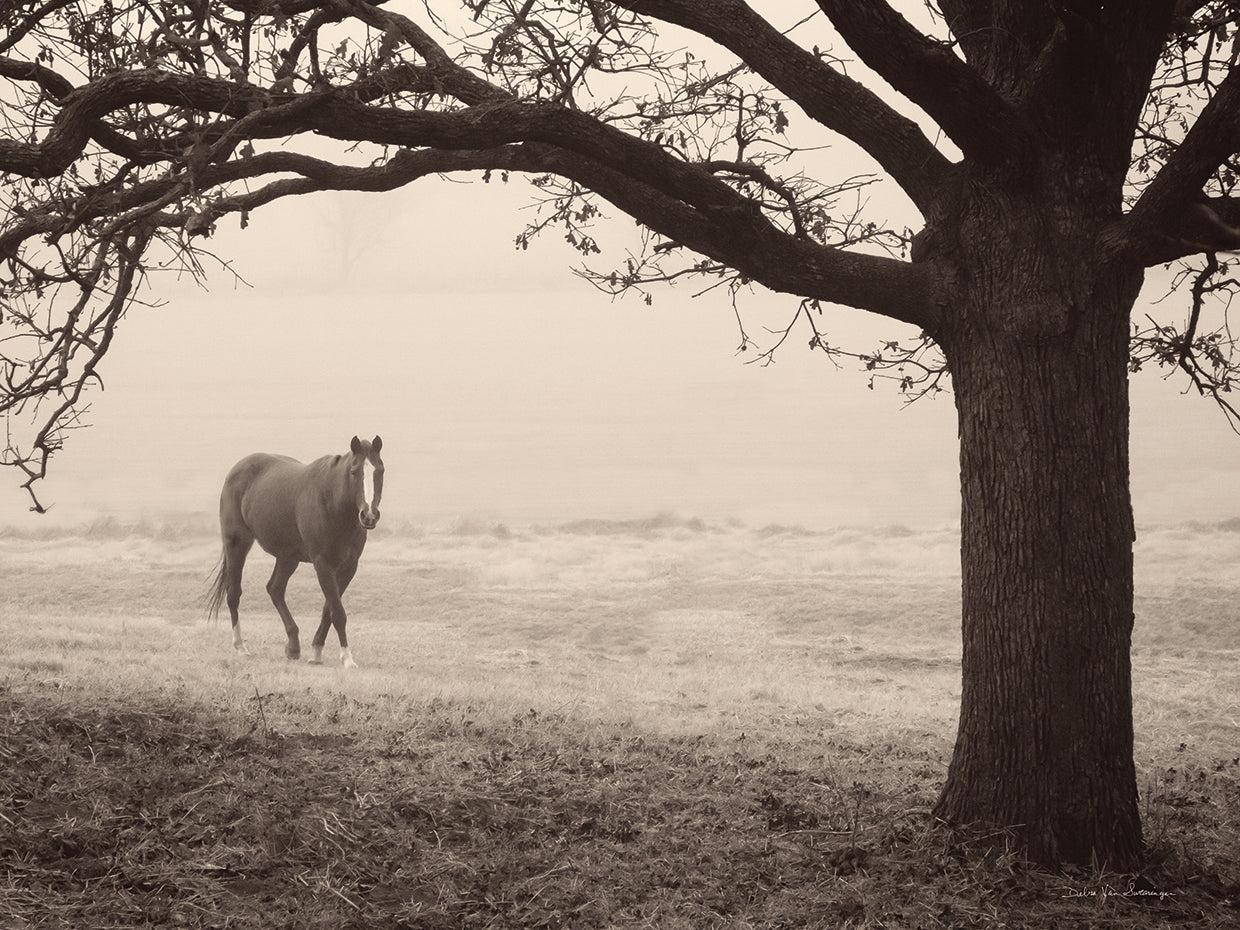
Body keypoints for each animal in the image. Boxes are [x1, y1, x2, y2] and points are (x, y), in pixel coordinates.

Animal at [206, 435, 384, 667]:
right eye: (354, 472)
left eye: (380, 471)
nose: (369, 515)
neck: (332, 504)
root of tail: (237, 469)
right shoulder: (322, 565)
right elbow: (338, 612)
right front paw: (347, 658)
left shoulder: (348, 567)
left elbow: (328, 610)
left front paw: (316, 652)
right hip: (237, 544)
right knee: (234, 593)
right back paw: (241, 647)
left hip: (287, 557)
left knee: (275, 589)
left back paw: (292, 646)